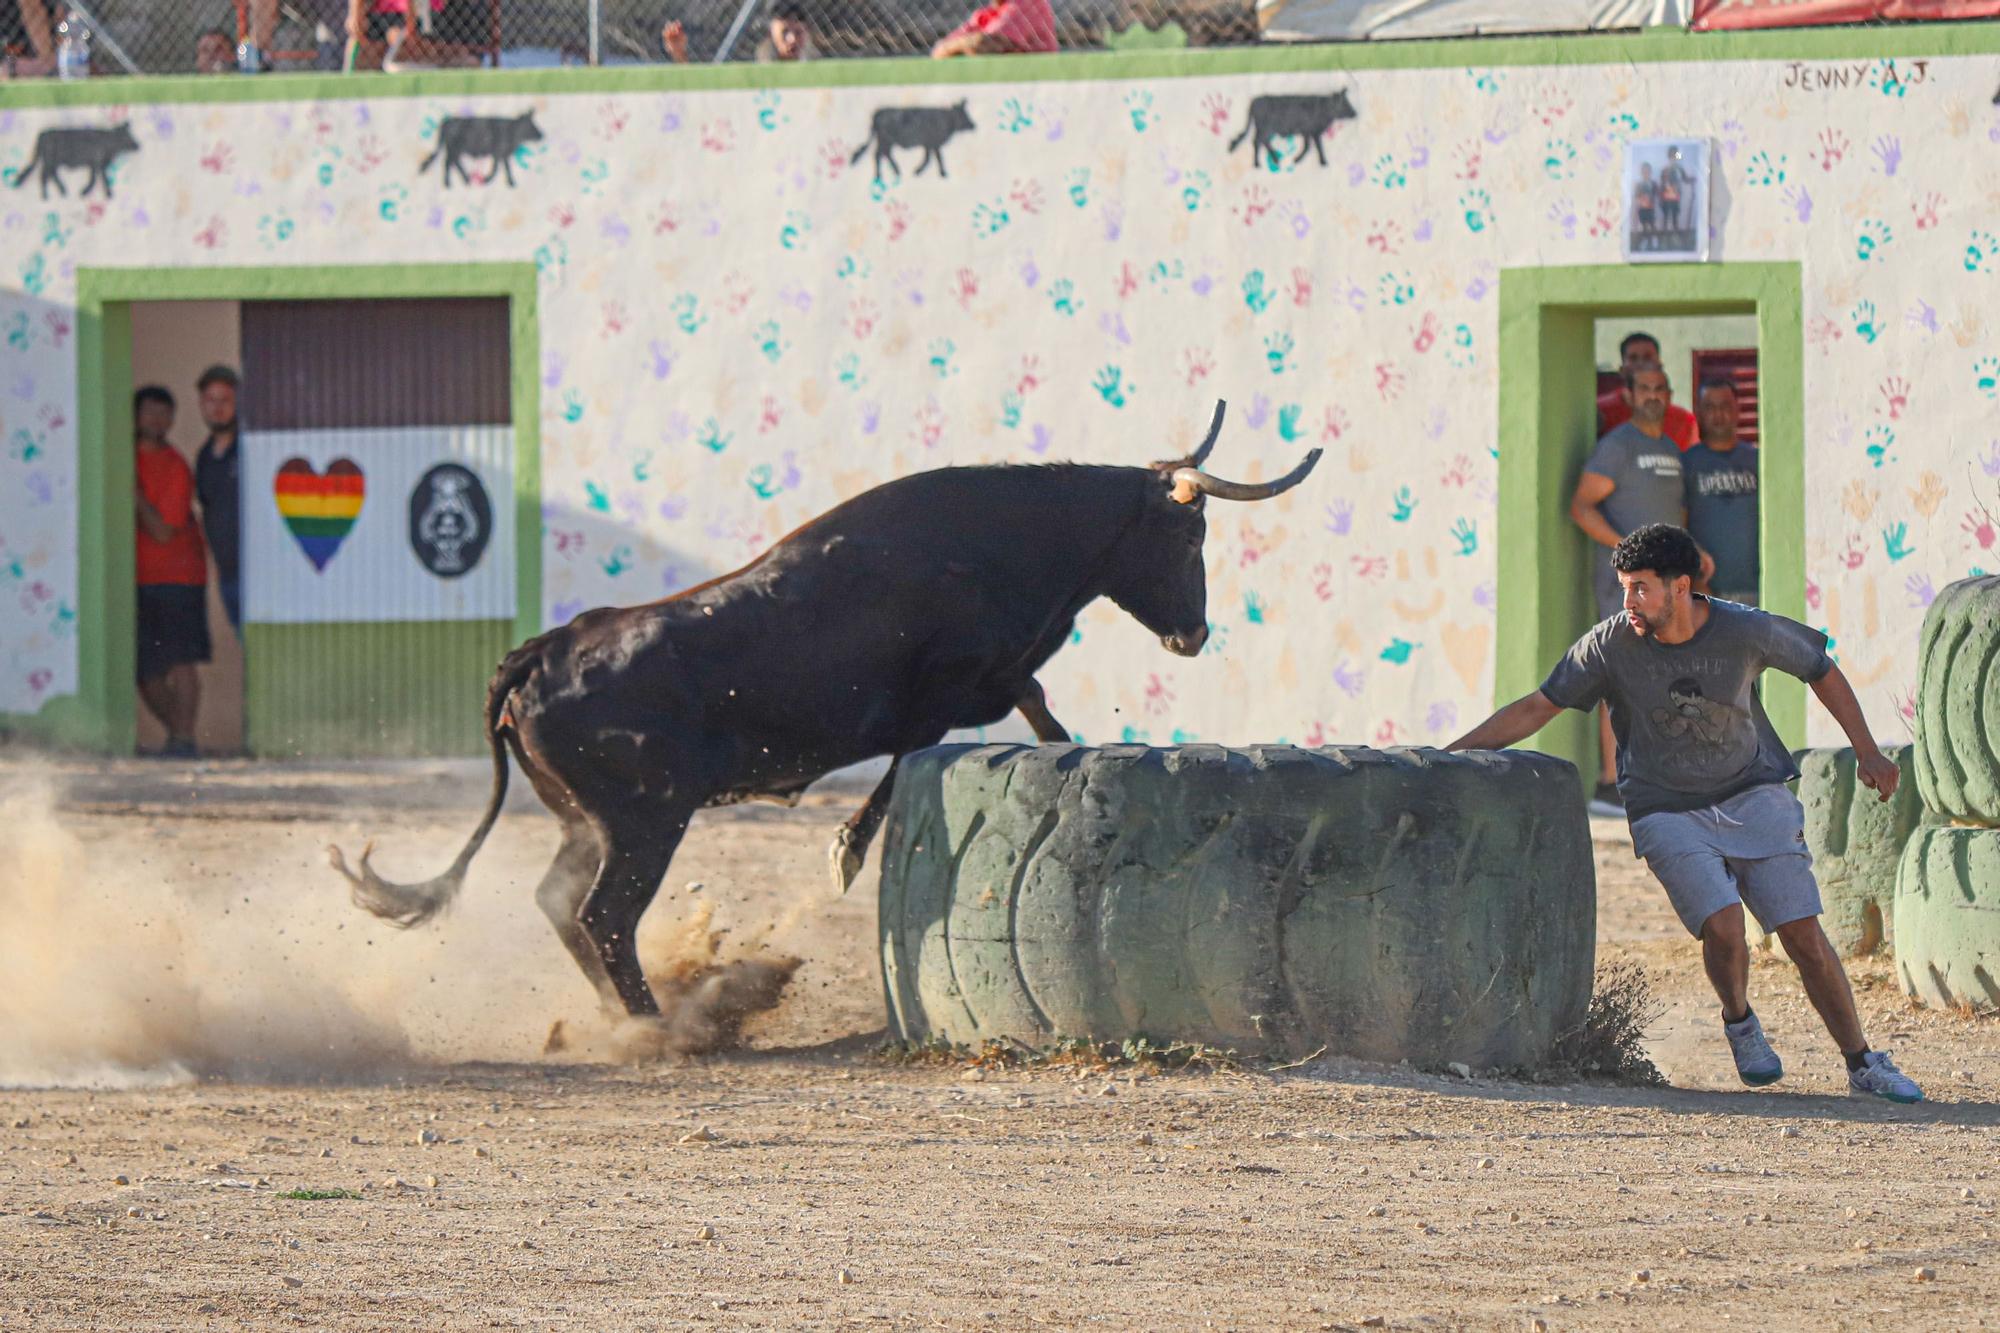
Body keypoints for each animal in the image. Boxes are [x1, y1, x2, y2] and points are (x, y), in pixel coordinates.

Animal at [336, 400, 1320, 1012]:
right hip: (645, 821)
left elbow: (1023, 716)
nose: (1193, 633)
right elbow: (955, 733)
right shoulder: (955, 683)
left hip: (589, 821)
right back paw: (660, 1024)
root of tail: (542, 650)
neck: (1008, 535)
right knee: (601, 917)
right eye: (1188, 534)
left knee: (560, 903)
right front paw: (846, 845)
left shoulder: (981, 682)